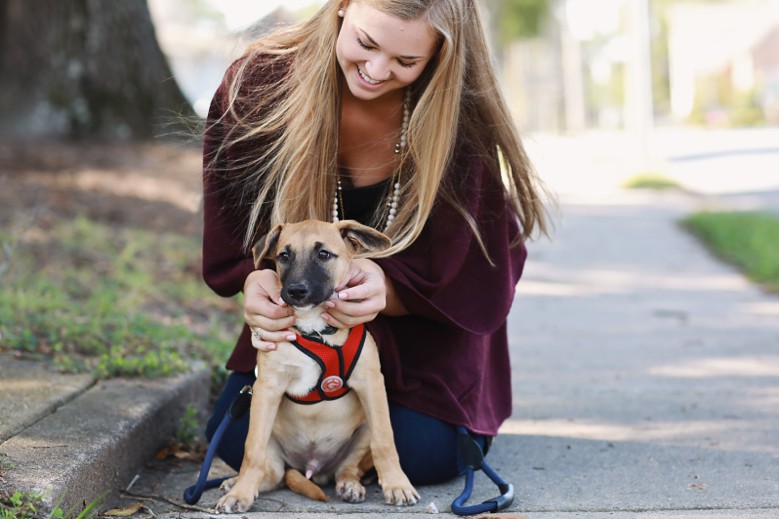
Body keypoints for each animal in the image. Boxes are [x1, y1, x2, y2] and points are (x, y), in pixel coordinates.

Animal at [213, 218, 420, 512]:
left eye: (323, 254)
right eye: (283, 256)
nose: (296, 291)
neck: (314, 327)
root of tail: (313, 469)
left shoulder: (371, 384)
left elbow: (385, 441)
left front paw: (397, 484)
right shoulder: (266, 389)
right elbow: (252, 449)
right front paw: (240, 493)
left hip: (362, 432)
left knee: (349, 469)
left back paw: (350, 485)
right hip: (270, 435)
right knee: (272, 474)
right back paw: (237, 483)